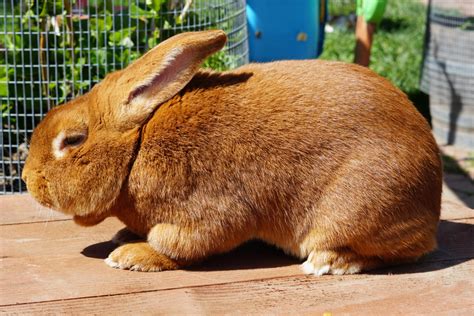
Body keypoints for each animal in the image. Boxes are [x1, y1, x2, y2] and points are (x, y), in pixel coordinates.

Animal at [22, 30, 442, 276]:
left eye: (72, 140)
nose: (27, 179)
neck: (136, 151)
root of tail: (433, 197)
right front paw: (123, 236)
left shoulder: (205, 212)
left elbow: (178, 245)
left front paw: (132, 255)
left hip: (357, 212)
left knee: (405, 252)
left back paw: (330, 262)